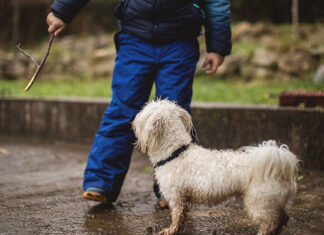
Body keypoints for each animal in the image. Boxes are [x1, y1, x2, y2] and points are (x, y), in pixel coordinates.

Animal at [132, 99, 298, 235]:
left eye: (144, 113)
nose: (133, 121)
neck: (176, 153)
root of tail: (281, 165)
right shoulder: (183, 198)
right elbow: (182, 216)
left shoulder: (176, 196)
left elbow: (176, 216)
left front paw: (171, 230)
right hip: (273, 202)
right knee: (282, 218)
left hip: (259, 202)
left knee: (269, 224)